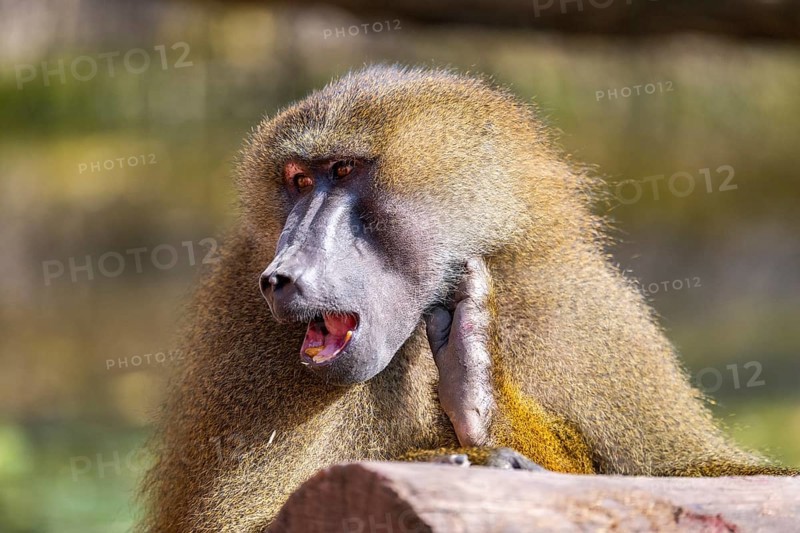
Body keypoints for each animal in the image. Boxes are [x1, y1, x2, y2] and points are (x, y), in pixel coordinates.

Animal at [140, 65, 796, 532]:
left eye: (344, 171)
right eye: (299, 181)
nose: (280, 276)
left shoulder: (577, 304)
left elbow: (705, 477)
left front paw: (482, 391)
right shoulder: (242, 319)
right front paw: (469, 455)